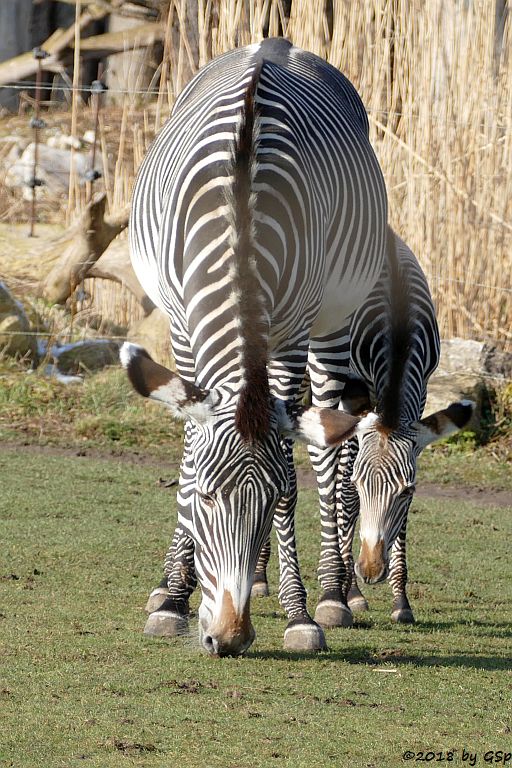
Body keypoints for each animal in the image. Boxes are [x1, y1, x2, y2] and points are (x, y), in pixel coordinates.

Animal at [123, 37, 388, 656]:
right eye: (205, 500)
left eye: (266, 504)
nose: (228, 638)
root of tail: (277, 43)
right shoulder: (182, 329)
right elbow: (188, 455)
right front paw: (172, 598)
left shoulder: (292, 334)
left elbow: (295, 475)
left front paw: (300, 614)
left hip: (333, 325)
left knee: (330, 456)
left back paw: (336, 592)